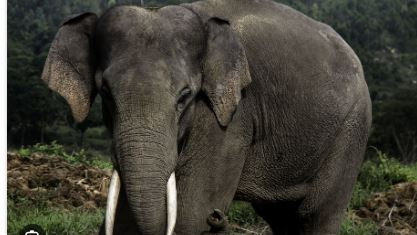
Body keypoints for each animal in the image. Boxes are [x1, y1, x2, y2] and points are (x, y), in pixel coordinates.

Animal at [40, 0, 372, 234]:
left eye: (185, 96)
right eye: (106, 93)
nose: (218, 217)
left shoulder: (231, 116)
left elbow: (191, 215)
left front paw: (201, 215)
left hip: (351, 131)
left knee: (315, 216)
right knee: (281, 218)